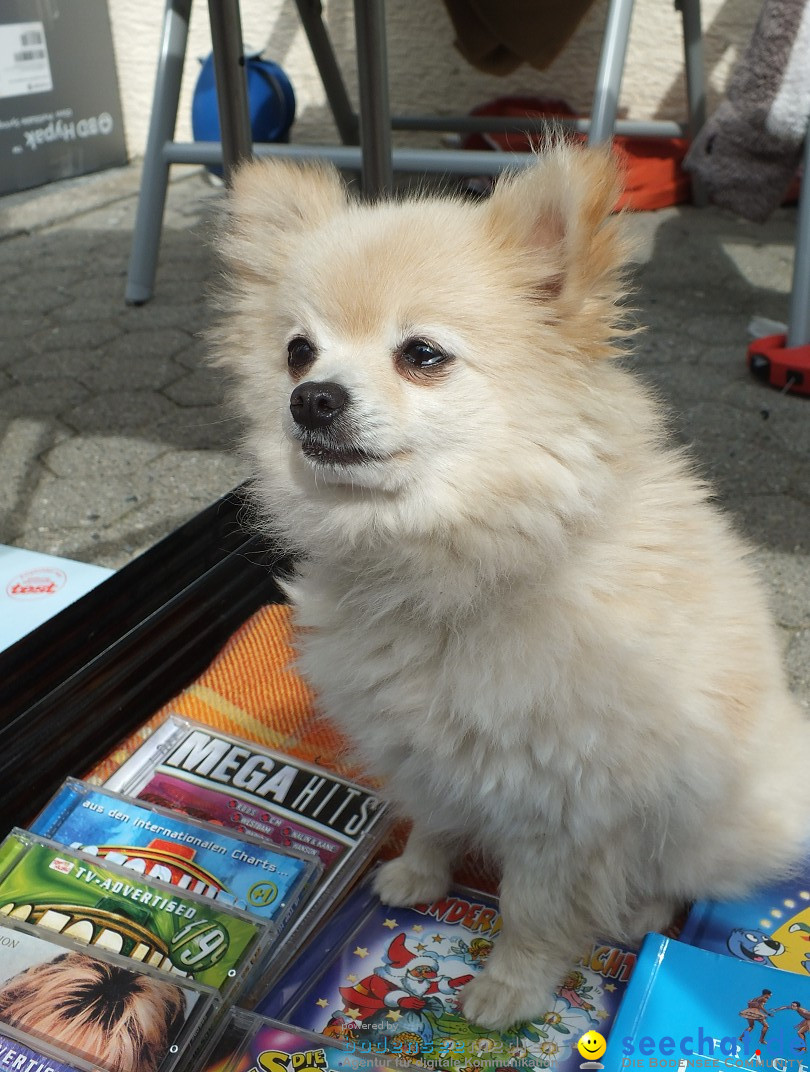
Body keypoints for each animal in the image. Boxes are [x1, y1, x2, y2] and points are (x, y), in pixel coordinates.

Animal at [213, 144, 810, 1029]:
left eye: (422, 355)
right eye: (297, 351)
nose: (311, 398)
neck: (450, 561)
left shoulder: (563, 811)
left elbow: (533, 911)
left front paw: (509, 987)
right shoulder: (421, 750)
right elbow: (431, 819)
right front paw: (420, 875)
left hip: (704, 817)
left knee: (679, 878)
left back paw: (637, 912)